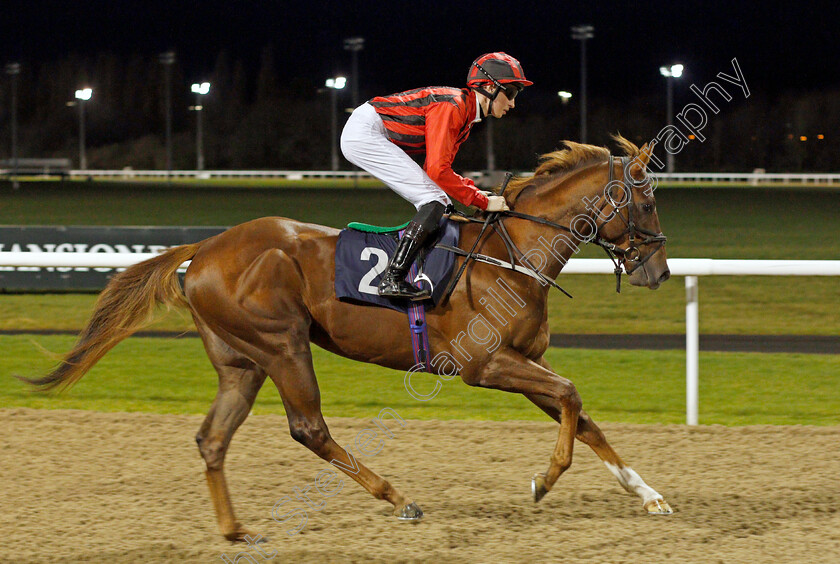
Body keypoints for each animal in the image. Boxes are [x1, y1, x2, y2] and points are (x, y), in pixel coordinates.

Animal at [24, 134, 676, 540]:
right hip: (282, 344)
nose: (660, 272)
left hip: (242, 361)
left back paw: (234, 530)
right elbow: (570, 395)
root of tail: (205, 247)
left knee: (212, 439)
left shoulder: (522, 362)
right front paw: (544, 479)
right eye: (645, 200)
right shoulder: (485, 365)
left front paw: (649, 495)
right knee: (309, 428)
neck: (511, 255)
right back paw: (397, 497)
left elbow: (581, 415)